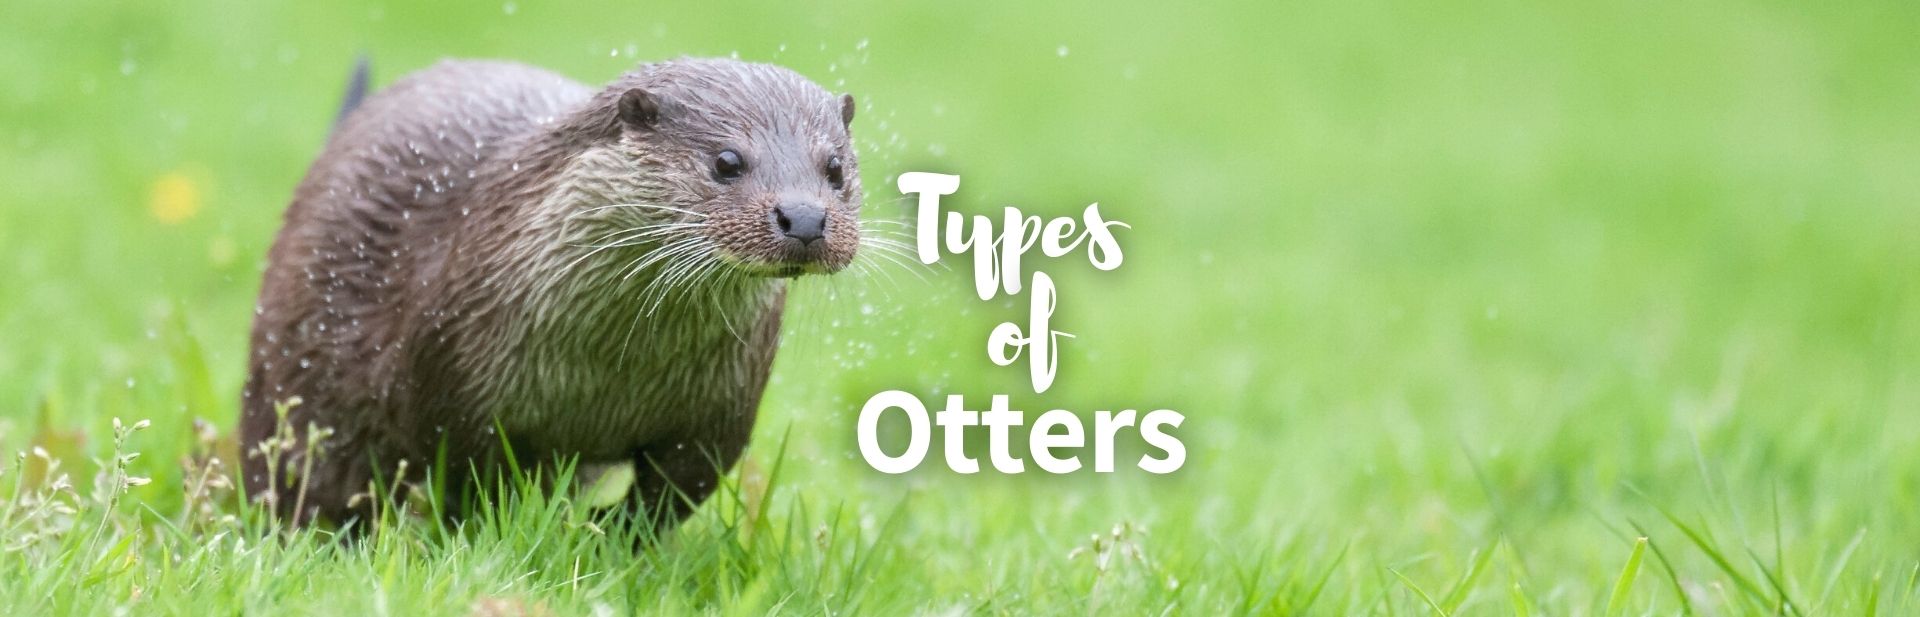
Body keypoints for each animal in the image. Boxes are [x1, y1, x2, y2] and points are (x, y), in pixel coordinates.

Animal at [240, 57, 862, 530]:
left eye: (834, 168)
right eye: (727, 161)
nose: (806, 217)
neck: (611, 375)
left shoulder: (723, 409)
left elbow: (676, 493)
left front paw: (608, 536)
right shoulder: (455, 384)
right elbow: (474, 483)